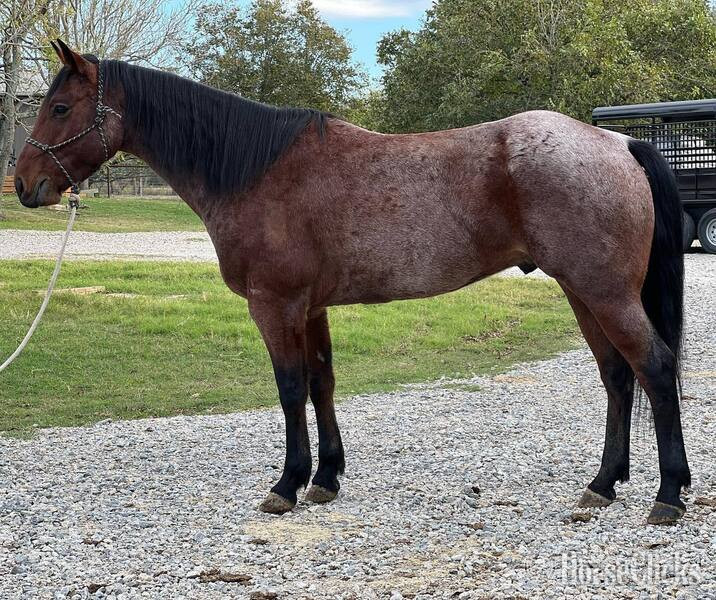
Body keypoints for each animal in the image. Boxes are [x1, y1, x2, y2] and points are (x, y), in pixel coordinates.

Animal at [15, 40, 690, 525]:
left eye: (60, 108)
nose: (24, 185)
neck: (258, 171)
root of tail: (617, 142)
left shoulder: (276, 306)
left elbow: (290, 389)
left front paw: (287, 484)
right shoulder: (310, 309)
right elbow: (322, 384)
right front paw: (325, 478)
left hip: (603, 292)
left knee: (654, 367)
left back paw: (669, 495)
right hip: (583, 293)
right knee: (617, 375)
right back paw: (602, 486)